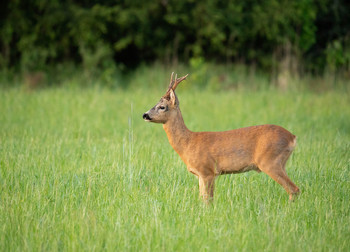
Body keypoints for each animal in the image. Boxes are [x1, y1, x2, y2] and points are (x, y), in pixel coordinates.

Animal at [143, 72, 300, 203]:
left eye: (162, 107)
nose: (145, 115)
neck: (188, 143)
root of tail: (292, 137)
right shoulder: (200, 175)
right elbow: (202, 199)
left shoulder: (207, 171)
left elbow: (208, 200)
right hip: (281, 162)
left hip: (270, 161)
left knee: (294, 189)